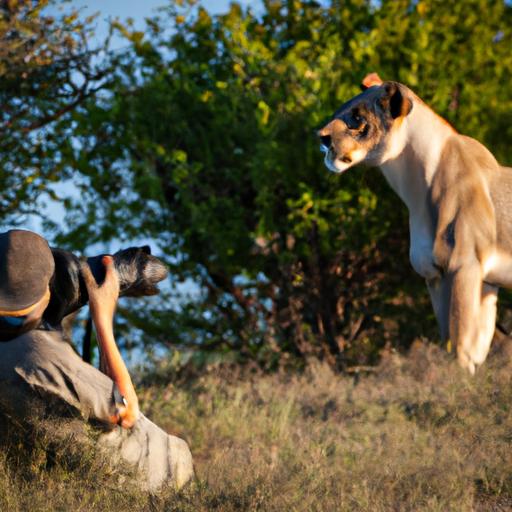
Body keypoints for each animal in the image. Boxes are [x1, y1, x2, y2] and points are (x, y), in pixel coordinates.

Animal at [318, 73, 512, 372]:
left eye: (357, 118)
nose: (322, 138)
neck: (416, 188)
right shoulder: (437, 277)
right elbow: (459, 347)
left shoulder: (465, 266)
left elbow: (462, 349)